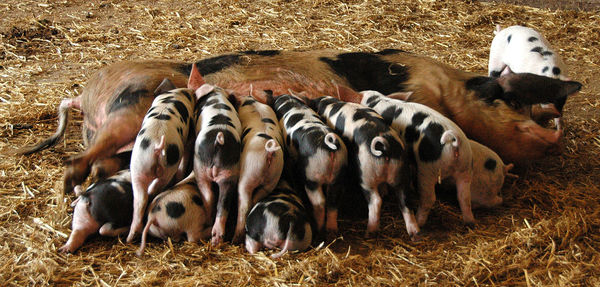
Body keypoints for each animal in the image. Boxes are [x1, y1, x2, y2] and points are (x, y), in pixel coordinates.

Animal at [17, 49, 580, 195]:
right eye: (509, 97)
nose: (554, 125)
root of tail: (86, 96)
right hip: (127, 112)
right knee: (78, 163)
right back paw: (70, 184)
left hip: (121, 123)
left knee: (95, 161)